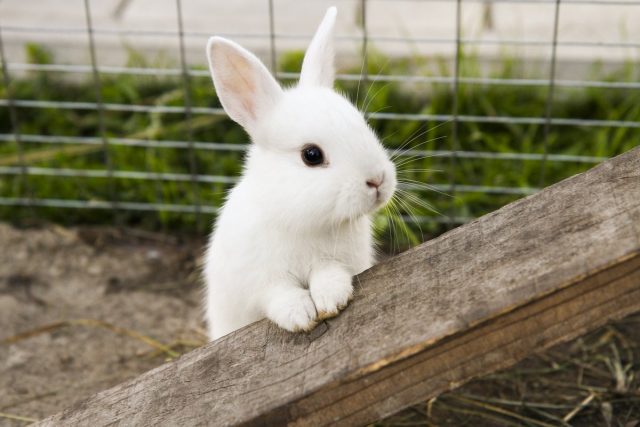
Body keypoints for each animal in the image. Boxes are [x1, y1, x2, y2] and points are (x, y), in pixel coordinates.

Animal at [205, 5, 396, 342]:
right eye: (312, 155)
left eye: (362, 124)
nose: (377, 181)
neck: (303, 221)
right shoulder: (260, 281)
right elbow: (278, 295)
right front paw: (301, 315)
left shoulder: (339, 261)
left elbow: (329, 274)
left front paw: (331, 299)